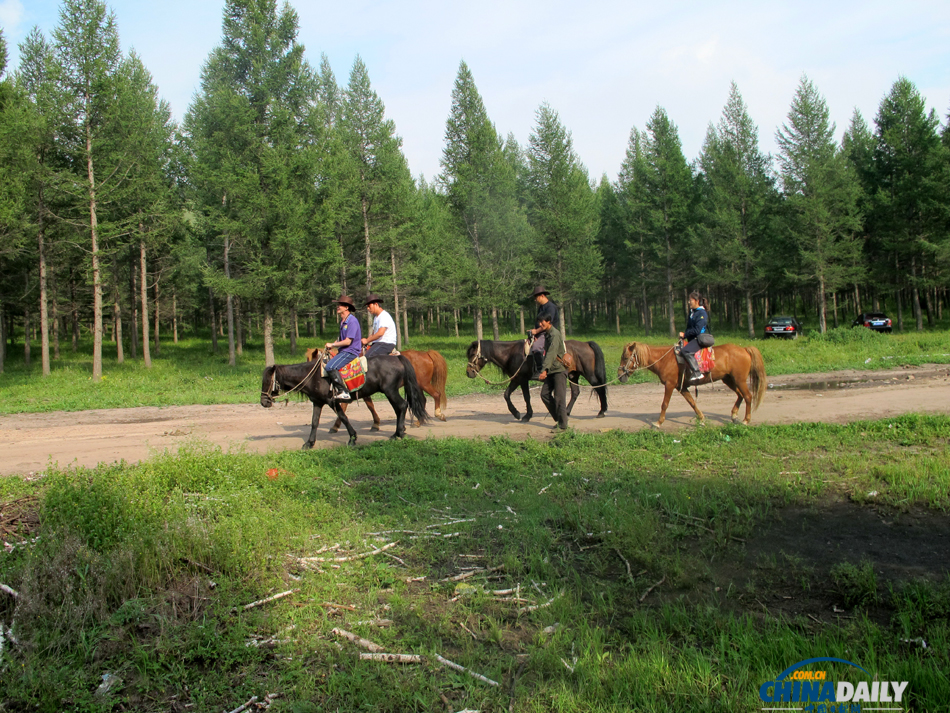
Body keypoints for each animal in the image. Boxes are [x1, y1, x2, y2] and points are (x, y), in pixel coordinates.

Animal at [256, 354, 428, 448]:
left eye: (268, 381)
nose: (264, 402)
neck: (312, 376)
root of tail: (397, 358)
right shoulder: (318, 402)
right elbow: (314, 422)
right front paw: (309, 443)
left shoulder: (332, 401)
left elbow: (343, 417)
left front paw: (352, 438)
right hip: (390, 391)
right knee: (400, 408)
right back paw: (399, 432)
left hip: (390, 391)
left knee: (402, 406)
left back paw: (398, 433)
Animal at [306, 348, 452, 432]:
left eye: (311, 361)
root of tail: (426, 353)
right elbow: (368, 406)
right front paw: (376, 423)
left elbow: (353, 406)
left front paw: (335, 427)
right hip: (417, 385)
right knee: (422, 400)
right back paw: (418, 421)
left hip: (423, 383)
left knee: (436, 394)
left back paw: (438, 414)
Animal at [466, 338, 608, 420]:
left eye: (473, 354)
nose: (468, 372)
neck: (511, 353)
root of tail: (586, 344)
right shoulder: (517, 379)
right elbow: (506, 395)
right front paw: (517, 413)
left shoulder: (521, 379)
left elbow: (525, 397)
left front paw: (525, 415)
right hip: (573, 375)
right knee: (575, 392)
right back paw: (567, 412)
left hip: (588, 374)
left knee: (599, 388)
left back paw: (602, 411)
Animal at [616, 340, 768, 426]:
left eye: (625, 357)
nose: (619, 376)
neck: (665, 360)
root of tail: (744, 349)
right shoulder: (681, 387)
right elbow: (692, 403)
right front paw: (701, 419)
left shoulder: (670, 385)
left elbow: (664, 404)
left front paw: (658, 422)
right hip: (729, 379)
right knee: (740, 395)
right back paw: (734, 416)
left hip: (739, 380)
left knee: (748, 396)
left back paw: (746, 420)